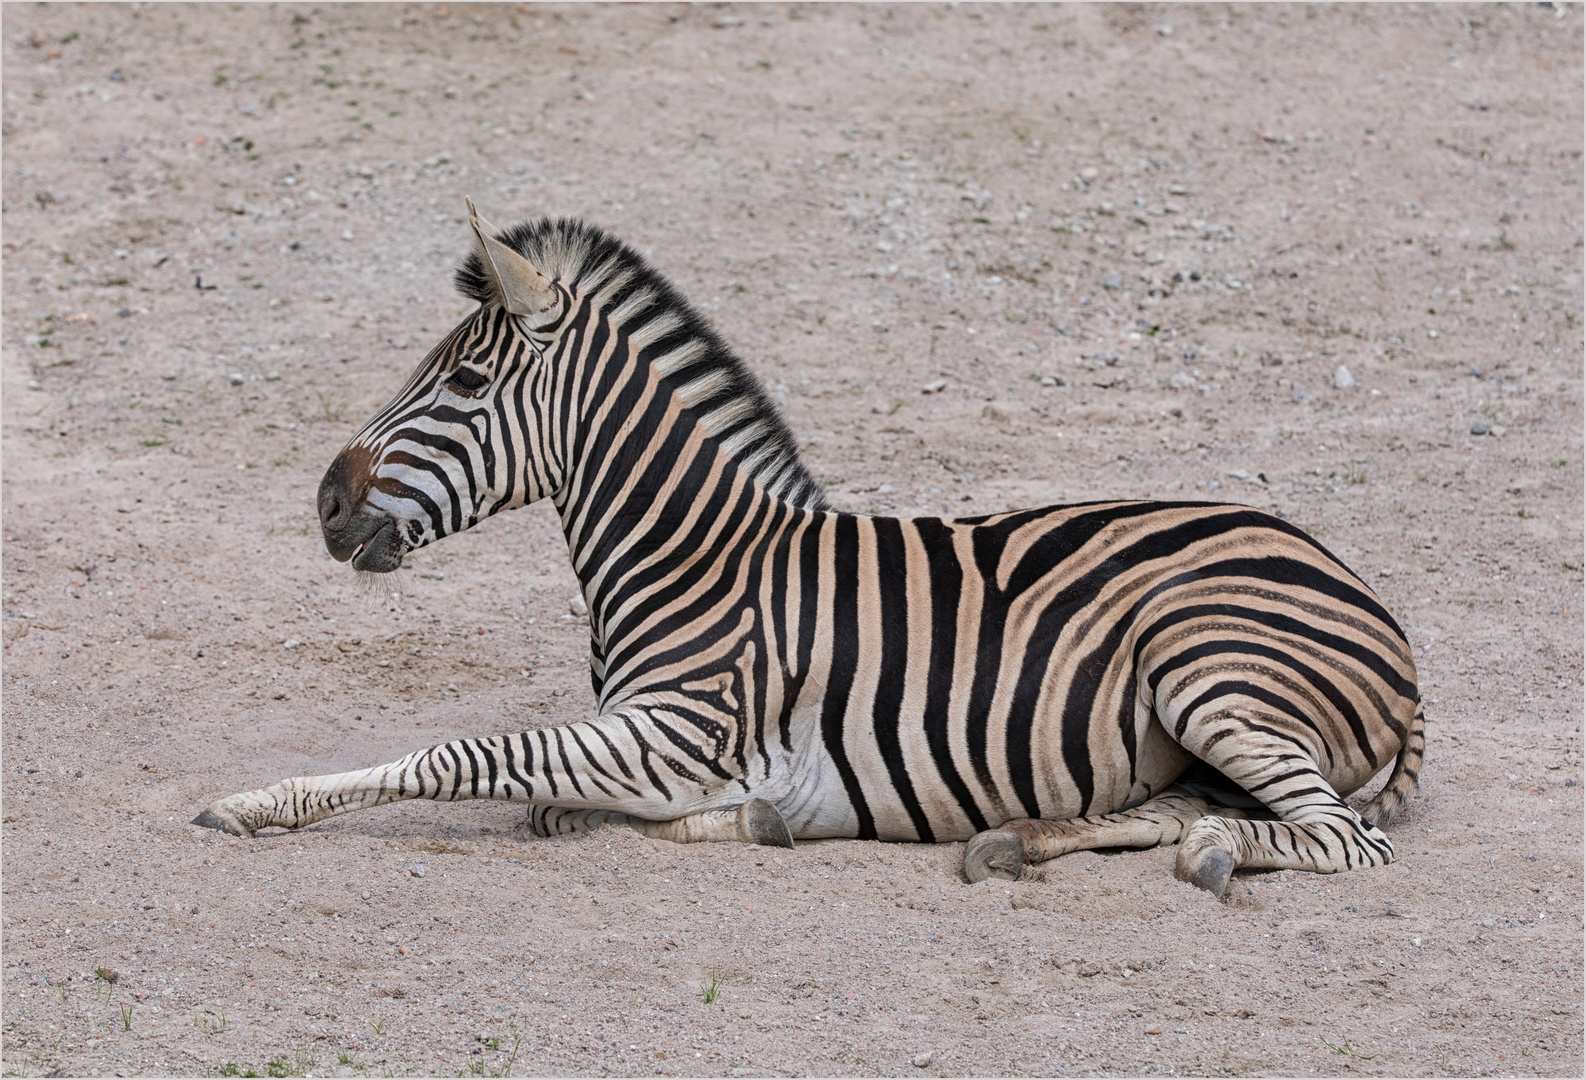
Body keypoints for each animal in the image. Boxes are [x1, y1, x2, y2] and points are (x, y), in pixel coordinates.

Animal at [193, 201, 1425, 897]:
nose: (325, 505)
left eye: (462, 383)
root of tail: (1368, 600)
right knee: (1187, 807)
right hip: (1192, 732)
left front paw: (257, 803)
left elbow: (470, 758)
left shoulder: (677, 730)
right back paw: (1018, 843)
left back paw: (1206, 856)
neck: (693, 556)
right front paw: (761, 819)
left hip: (1208, 673)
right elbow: (544, 798)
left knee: (1329, 838)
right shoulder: (651, 743)